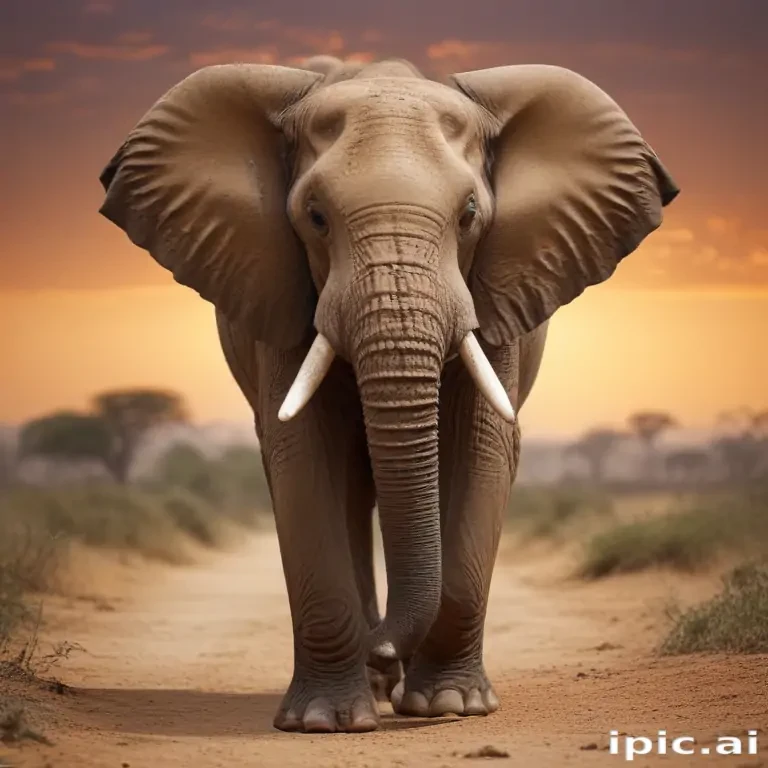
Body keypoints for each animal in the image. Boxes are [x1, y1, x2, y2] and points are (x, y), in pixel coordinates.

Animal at [98, 54, 678, 733]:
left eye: (470, 215)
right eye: (315, 217)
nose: (382, 646)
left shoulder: (497, 294)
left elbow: (482, 450)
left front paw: (449, 707)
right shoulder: (280, 291)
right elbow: (300, 455)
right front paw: (323, 721)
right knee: (349, 485)